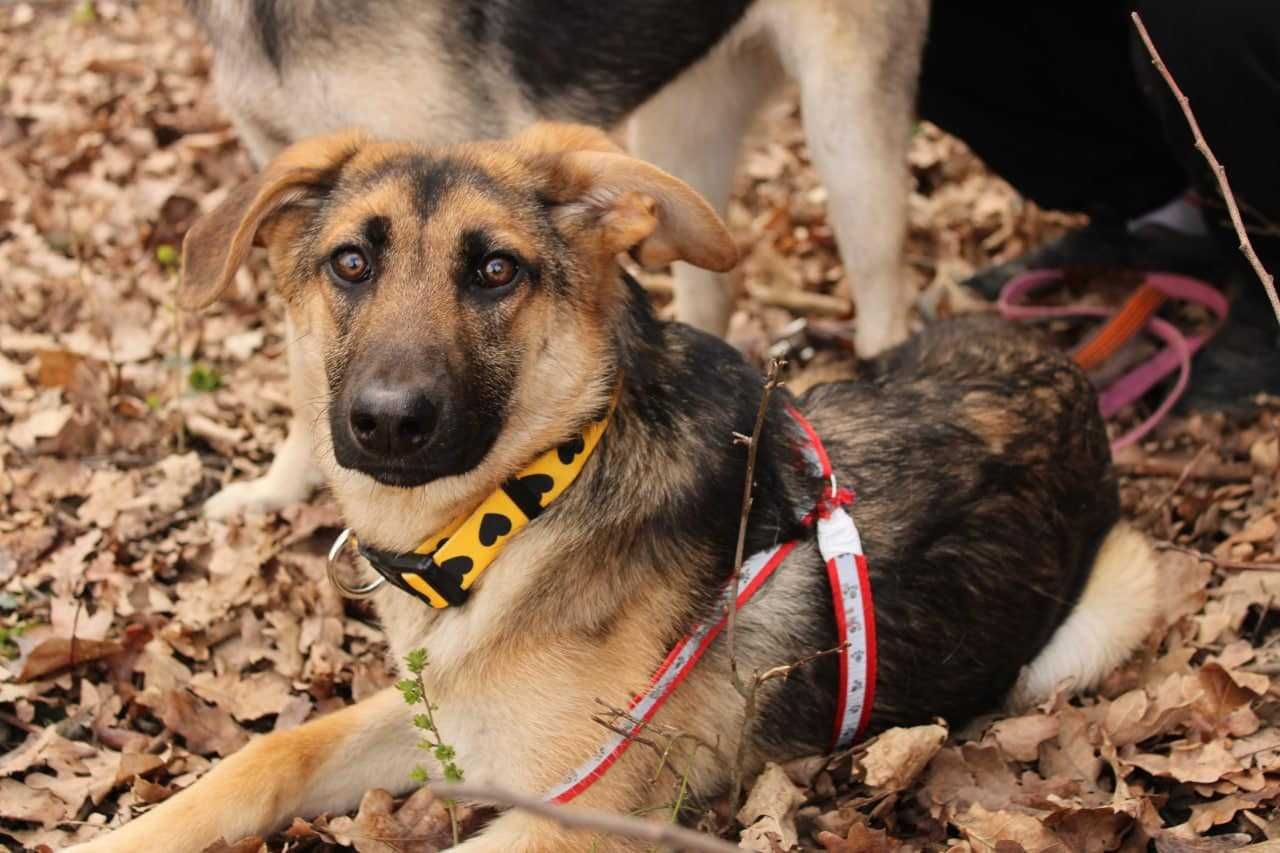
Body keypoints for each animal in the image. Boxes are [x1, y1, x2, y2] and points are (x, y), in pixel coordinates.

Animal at [80, 124, 1162, 850]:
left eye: (495, 270)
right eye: (350, 261)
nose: (386, 421)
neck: (521, 509)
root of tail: (1061, 360)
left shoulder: (582, 807)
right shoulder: (446, 720)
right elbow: (270, 753)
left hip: (1104, 604)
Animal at [186, 0, 931, 514]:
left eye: (492, 271)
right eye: (350, 264)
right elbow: (301, 372)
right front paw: (279, 487)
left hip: (845, 130)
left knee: (885, 298)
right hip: (684, 129)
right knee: (714, 290)